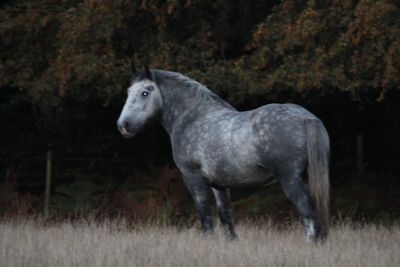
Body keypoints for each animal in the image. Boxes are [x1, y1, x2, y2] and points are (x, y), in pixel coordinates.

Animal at [117, 66, 330, 243]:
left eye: (145, 92)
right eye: (128, 92)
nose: (123, 125)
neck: (193, 118)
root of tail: (307, 118)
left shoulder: (193, 178)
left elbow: (204, 213)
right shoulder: (220, 185)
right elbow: (225, 215)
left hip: (290, 179)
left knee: (307, 211)